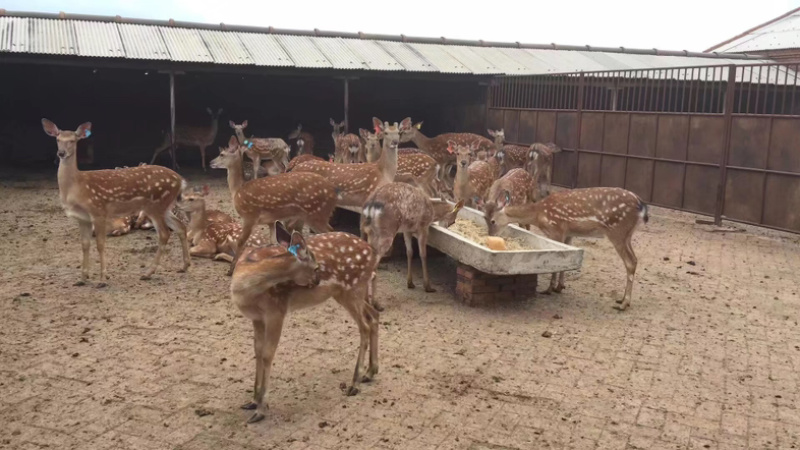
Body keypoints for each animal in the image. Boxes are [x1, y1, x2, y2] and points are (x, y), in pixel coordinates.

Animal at [43, 119, 190, 283]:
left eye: (73, 140)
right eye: (57, 139)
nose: (61, 153)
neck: (76, 187)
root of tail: (180, 180)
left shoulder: (98, 211)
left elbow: (100, 244)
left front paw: (102, 279)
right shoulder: (82, 218)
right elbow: (85, 244)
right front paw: (83, 278)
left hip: (155, 205)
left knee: (164, 233)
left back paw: (148, 273)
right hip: (165, 206)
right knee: (180, 226)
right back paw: (184, 266)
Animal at [210, 136, 337, 274]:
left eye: (222, 154)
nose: (211, 162)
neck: (238, 190)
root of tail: (334, 192)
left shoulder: (250, 216)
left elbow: (241, 242)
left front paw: (231, 270)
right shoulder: (270, 220)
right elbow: (272, 242)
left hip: (317, 213)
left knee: (331, 231)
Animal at [231, 224, 381, 423]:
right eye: (316, 267)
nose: (317, 281)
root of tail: (373, 253)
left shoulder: (276, 311)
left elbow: (268, 355)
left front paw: (261, 409)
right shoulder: (257, 318)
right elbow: (258, 352)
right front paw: (253, 401)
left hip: (352, 289)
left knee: (364, 326)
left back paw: (354, 383)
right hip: (347, 292)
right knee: (374, 316)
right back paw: (370, 372)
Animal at [486, 187, 648, 311]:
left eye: (492, 221)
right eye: (485, 218)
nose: (489, 236)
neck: (539, 214)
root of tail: (641, 206)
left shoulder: (556, 229)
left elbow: (556, 261)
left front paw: (549, 289)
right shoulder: (569, 233)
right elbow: (565, 258)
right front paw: (560, 287)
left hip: (617, 231)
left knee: (630, 262)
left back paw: (624, 304)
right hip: (627, 235)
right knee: (635, 259)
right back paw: (621, 299)